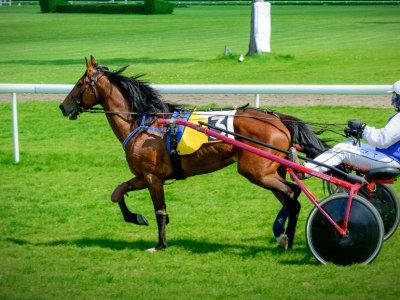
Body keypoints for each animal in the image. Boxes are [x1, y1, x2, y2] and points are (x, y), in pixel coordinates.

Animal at [60, 55, 328, 251]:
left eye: (80, 83)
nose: (64, 106)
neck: (144, 124)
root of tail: (278, 119)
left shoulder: (153, 178)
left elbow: (160, 212)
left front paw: (160, 245)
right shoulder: (144, 176)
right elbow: (117, 192)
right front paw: (135, 217)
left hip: (257, 172)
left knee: (292, 193)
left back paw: (281, 234)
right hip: (271, 172)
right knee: (292, 200)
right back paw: (287, 240)